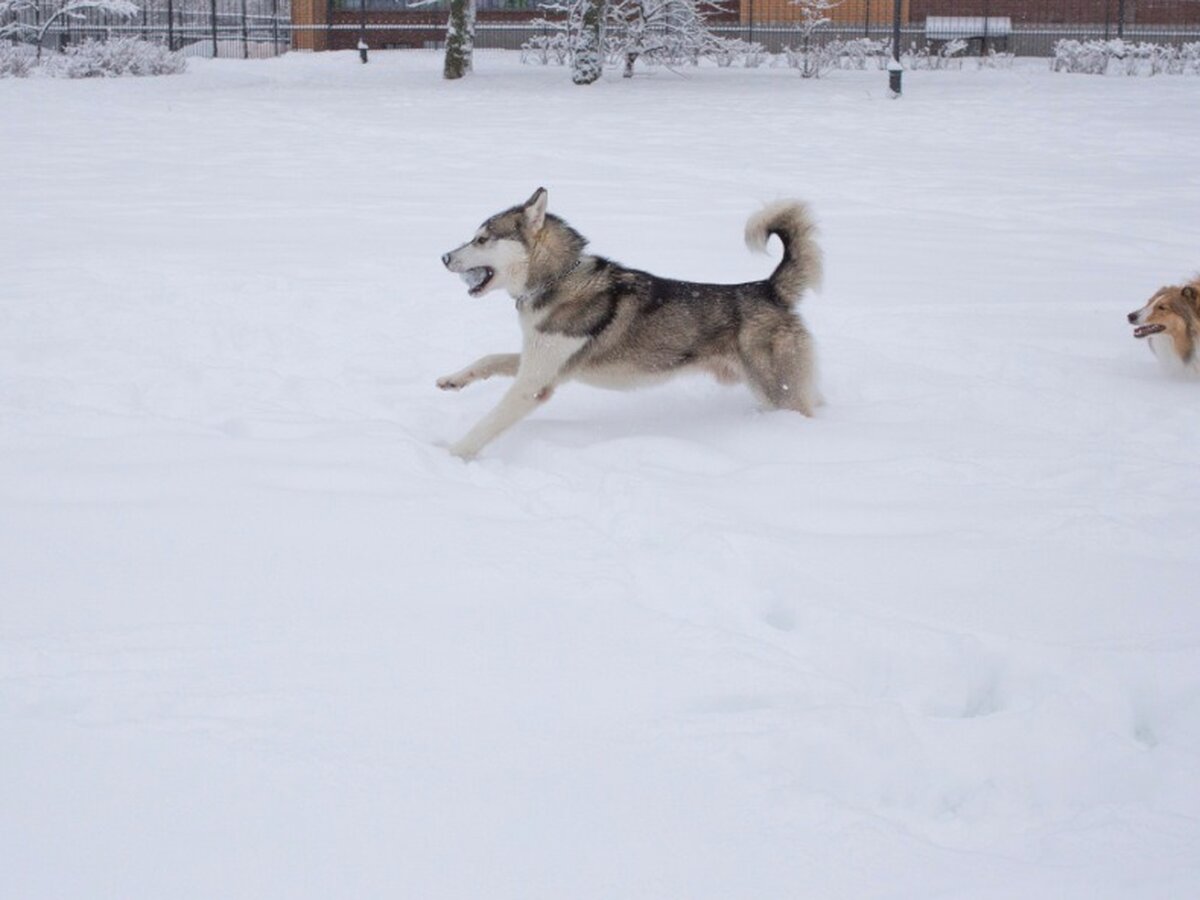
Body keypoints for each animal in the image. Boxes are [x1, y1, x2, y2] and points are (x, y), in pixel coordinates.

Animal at [441, 188, 825, 458]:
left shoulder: (534, 384)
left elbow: (487, 424)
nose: (443, 257)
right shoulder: (540, 363)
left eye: (481, 239)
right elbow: (489, 359)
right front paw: (453, 380)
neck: (557, 280)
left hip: (778, 393)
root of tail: (768, 288)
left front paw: (451, 454)